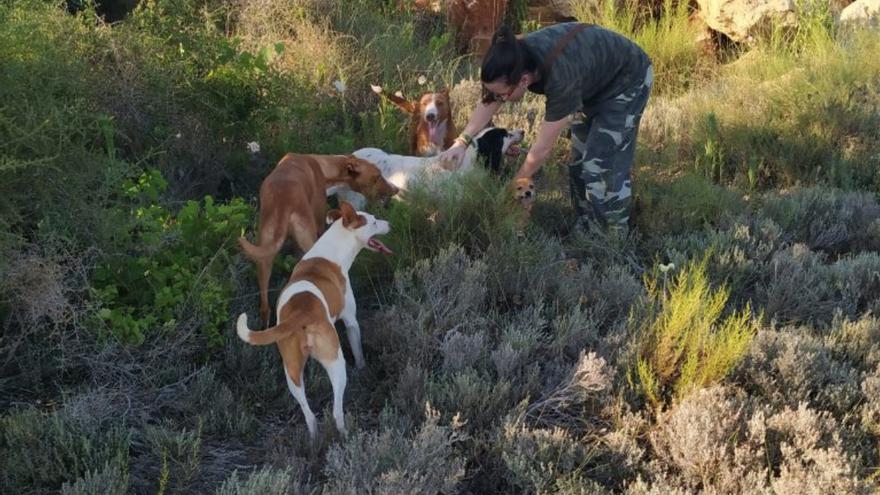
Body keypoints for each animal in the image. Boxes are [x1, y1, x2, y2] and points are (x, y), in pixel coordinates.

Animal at [237, 153, 396, 328]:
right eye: (377, 175)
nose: (396, 189)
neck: (324, 167)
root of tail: (282, 200)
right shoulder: (320, 224)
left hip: (264, 255)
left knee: (265, 306)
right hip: (309, 239)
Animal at [239, 202, 394, 442]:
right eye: (375, 221)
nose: (390, 224)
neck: (330, 252)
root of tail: (300, 315)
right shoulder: (351, 322)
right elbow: (358, 351)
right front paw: (362, 369)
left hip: (291, 371)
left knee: (309, 413)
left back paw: (313, 439)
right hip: (336, 362)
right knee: (336, 410)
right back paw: (345, 435)